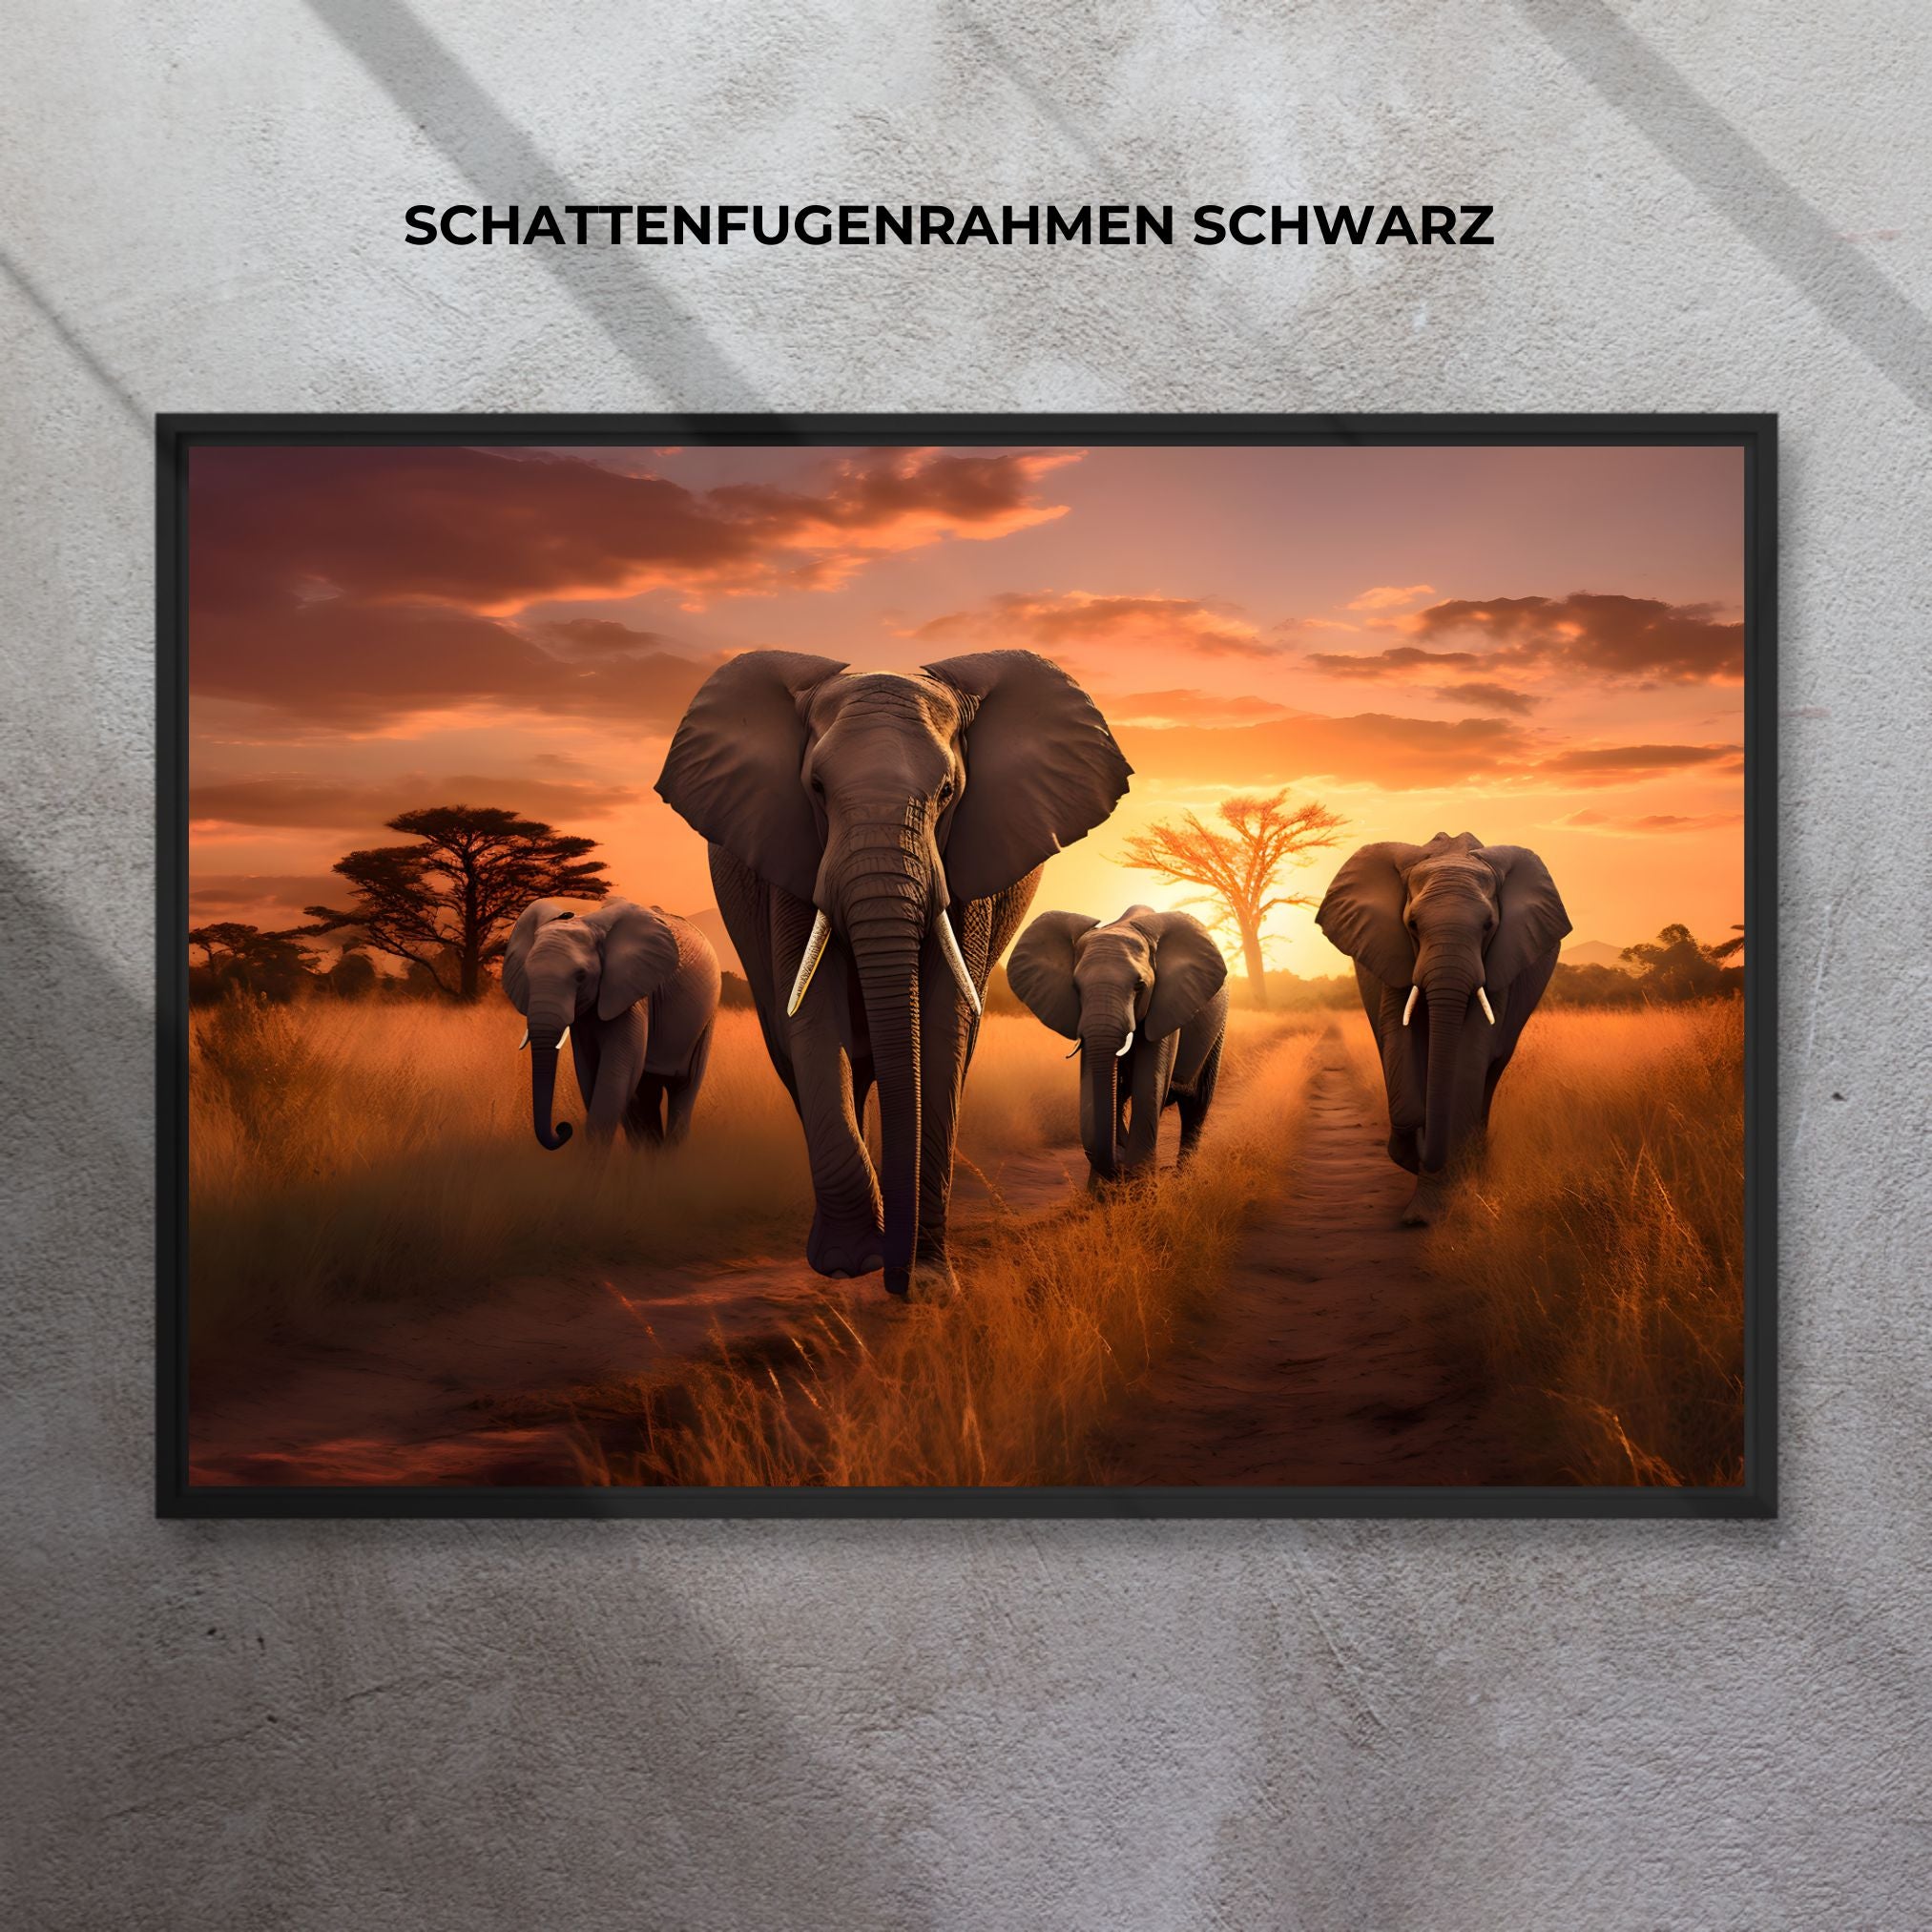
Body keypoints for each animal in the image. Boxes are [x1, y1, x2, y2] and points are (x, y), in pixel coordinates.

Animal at [501, 897, 721, 1151]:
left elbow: (615, 1079)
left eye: (580, 976)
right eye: (527, 973)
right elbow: (590, 1074)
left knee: (683, 1090)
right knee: (647, 1096)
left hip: (707, 1019)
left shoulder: (631, 995)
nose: (563, 1128)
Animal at [656, 648, 1131, 1300]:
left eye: (949, 791)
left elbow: (943, 1027)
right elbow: (815, 1018)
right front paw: (849, 1263)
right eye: (816, 788)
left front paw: (930, 1280)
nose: (898, 1281)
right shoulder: (792, 859)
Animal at [1007, 905, 1230, 1185]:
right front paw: (1102, 1191)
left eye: (1139, 986)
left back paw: (1182, 1180)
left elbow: (1149, 1084)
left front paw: (1141, 1188)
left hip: (1217, 1034)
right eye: (1076, 988)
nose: (1120, 1163)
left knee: (1195, 1106)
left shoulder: (1165, 1005)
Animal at [1315, 831, 1570, 1224]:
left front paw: (1432, 1212)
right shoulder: (1393, 953)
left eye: (1488, 926)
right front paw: (1416, 1183)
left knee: (1490, 1074)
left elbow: (1470, 1054)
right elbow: (1399, 1041)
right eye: (1413, 926)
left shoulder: (1500, 961)